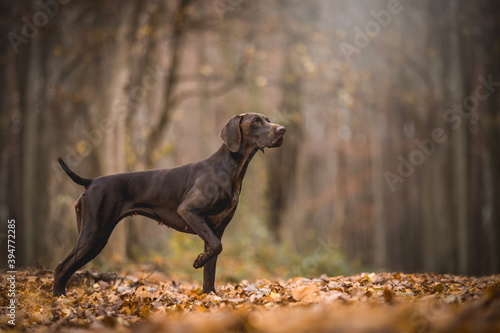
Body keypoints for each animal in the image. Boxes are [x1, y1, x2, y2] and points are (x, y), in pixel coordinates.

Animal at [53, 113, 286, 294]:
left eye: (268, 120)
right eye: (256, 121)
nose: (283, 130)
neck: (230, 169)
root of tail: (92, 181)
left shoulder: (216, 229)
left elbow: (211, 265)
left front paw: (210, 296)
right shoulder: (189, 211)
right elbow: (216, 248)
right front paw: (198, 261)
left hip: (89, 233)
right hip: (94, 234)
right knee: (61, 268)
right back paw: (60, 300)